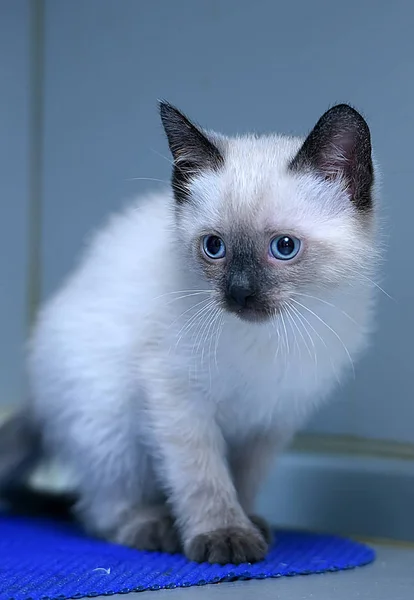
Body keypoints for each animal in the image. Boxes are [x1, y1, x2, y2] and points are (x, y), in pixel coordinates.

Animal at [0, 101, 378, 564]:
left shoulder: (270, 419)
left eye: (284, 247)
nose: (239, 293)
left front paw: (248, 524)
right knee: (99, 506)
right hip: (107, 419)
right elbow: (204, 477)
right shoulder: (177, 397)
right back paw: (152, 527)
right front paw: (226, 537)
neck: (267, 342)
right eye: (214, 247)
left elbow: (243, 480)